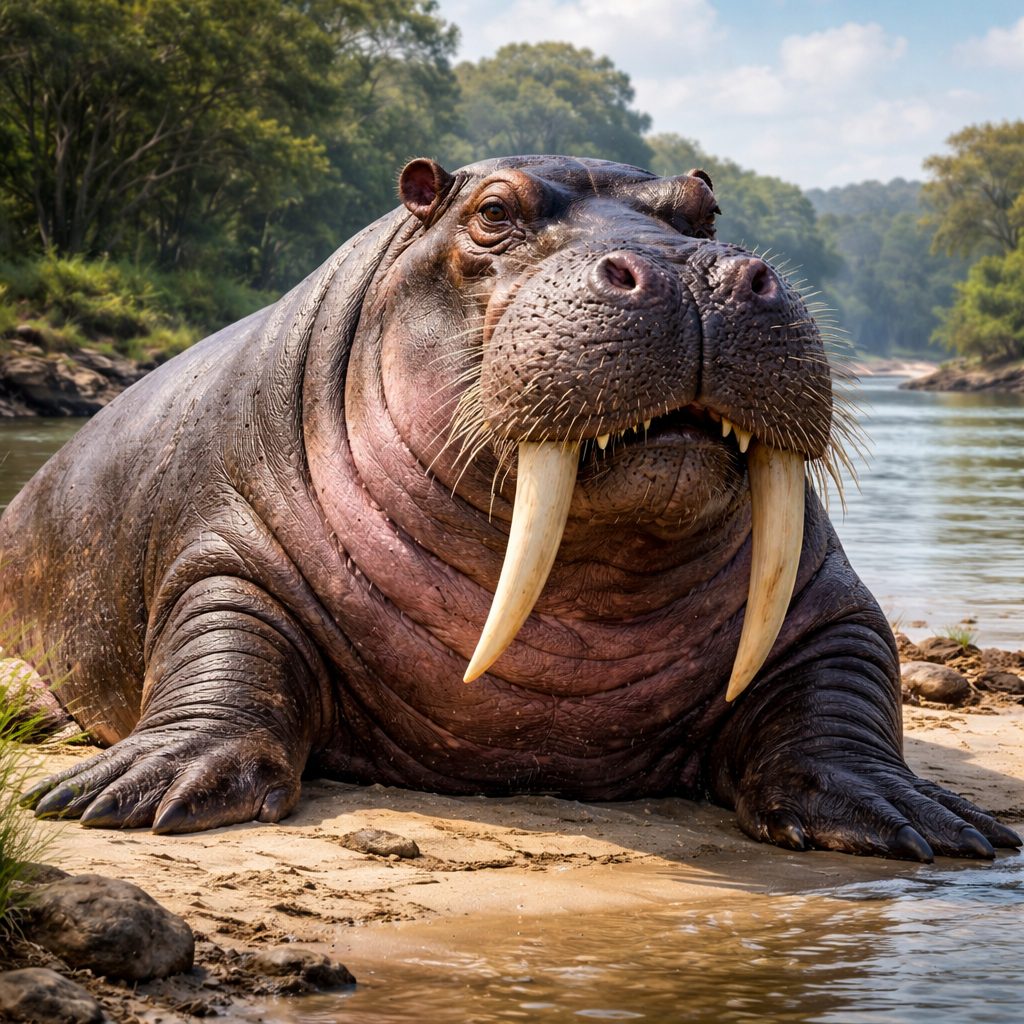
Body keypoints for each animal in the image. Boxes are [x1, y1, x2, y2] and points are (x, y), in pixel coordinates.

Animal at [2, 156, 1018, 862]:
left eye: (706, 210)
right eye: (493, 211)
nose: (695, 270)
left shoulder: (826, 595)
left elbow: (848, 683)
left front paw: (913, 816)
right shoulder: (231, 545)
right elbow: (222, 644)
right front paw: (131, 791)